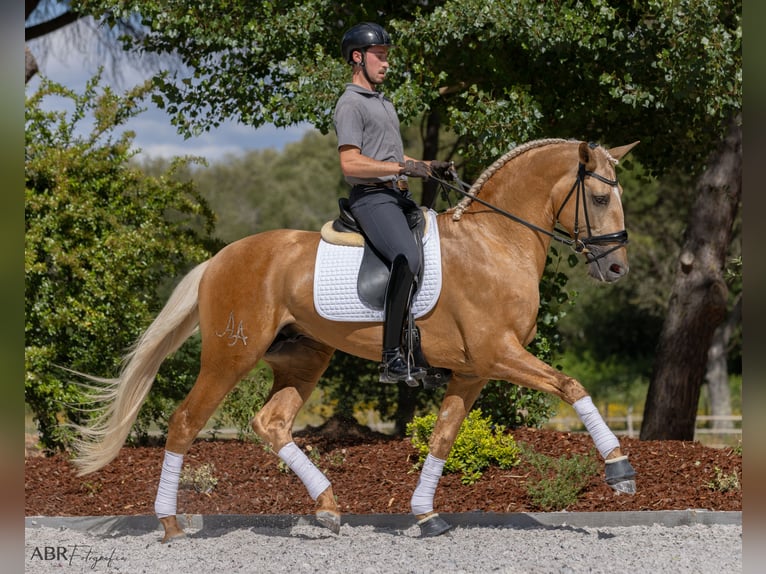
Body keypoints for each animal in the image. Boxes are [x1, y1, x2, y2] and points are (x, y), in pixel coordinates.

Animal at [75, 138, 640, 540]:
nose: (616, 268)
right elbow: (572, 386)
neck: (494, 242)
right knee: (186, 422)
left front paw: (425, 515)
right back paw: (169, 523)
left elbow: (443, 436)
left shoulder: (474, 369)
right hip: (230, 357)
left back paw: (327, 507)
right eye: (599, 197)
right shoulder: (498, 353)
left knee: (271, 422)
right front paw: (619, 470)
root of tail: (220, 259)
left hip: (304, 358)